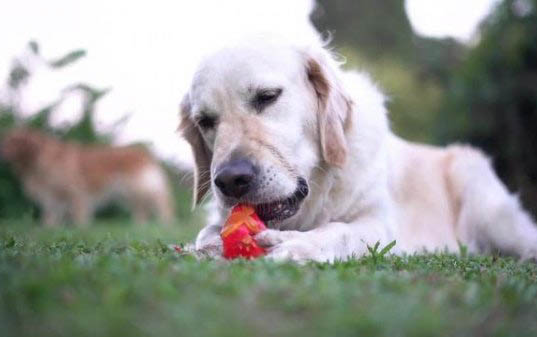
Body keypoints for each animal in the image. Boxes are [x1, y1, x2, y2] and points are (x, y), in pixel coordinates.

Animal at [1, 128, 173, 226]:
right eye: (5, 141)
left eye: (14, 142)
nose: (2, 153)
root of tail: (145, 154)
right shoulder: (53, 196)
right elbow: (50, 217)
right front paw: (48, 229)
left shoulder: (76, 192)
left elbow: (79, 216)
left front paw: (81, 229)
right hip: (128, 194)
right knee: (142, 210)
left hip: (139, 187)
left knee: (161, 204)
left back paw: (165, 225)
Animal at [177, 39, 536, 262]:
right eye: (205, 121)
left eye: (267, 97)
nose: (231, 180)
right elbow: (207, 233)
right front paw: (209, 245)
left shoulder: (381, 223)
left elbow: (341, 230)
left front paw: (301, 244)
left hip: (486, 202)